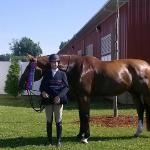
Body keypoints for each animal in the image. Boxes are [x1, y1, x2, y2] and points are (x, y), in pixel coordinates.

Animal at [19, 54, 150, 143]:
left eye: (29, 68)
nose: (20, 84)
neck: (77, 68)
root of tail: (146, 66)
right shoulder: (79, 97)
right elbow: (81, 115)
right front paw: (80, 135)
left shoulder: (85, 97)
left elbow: (86, 115)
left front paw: (85, 137)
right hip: (135, 93)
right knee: (140, 109)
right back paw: (137, 133)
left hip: (145, 93)